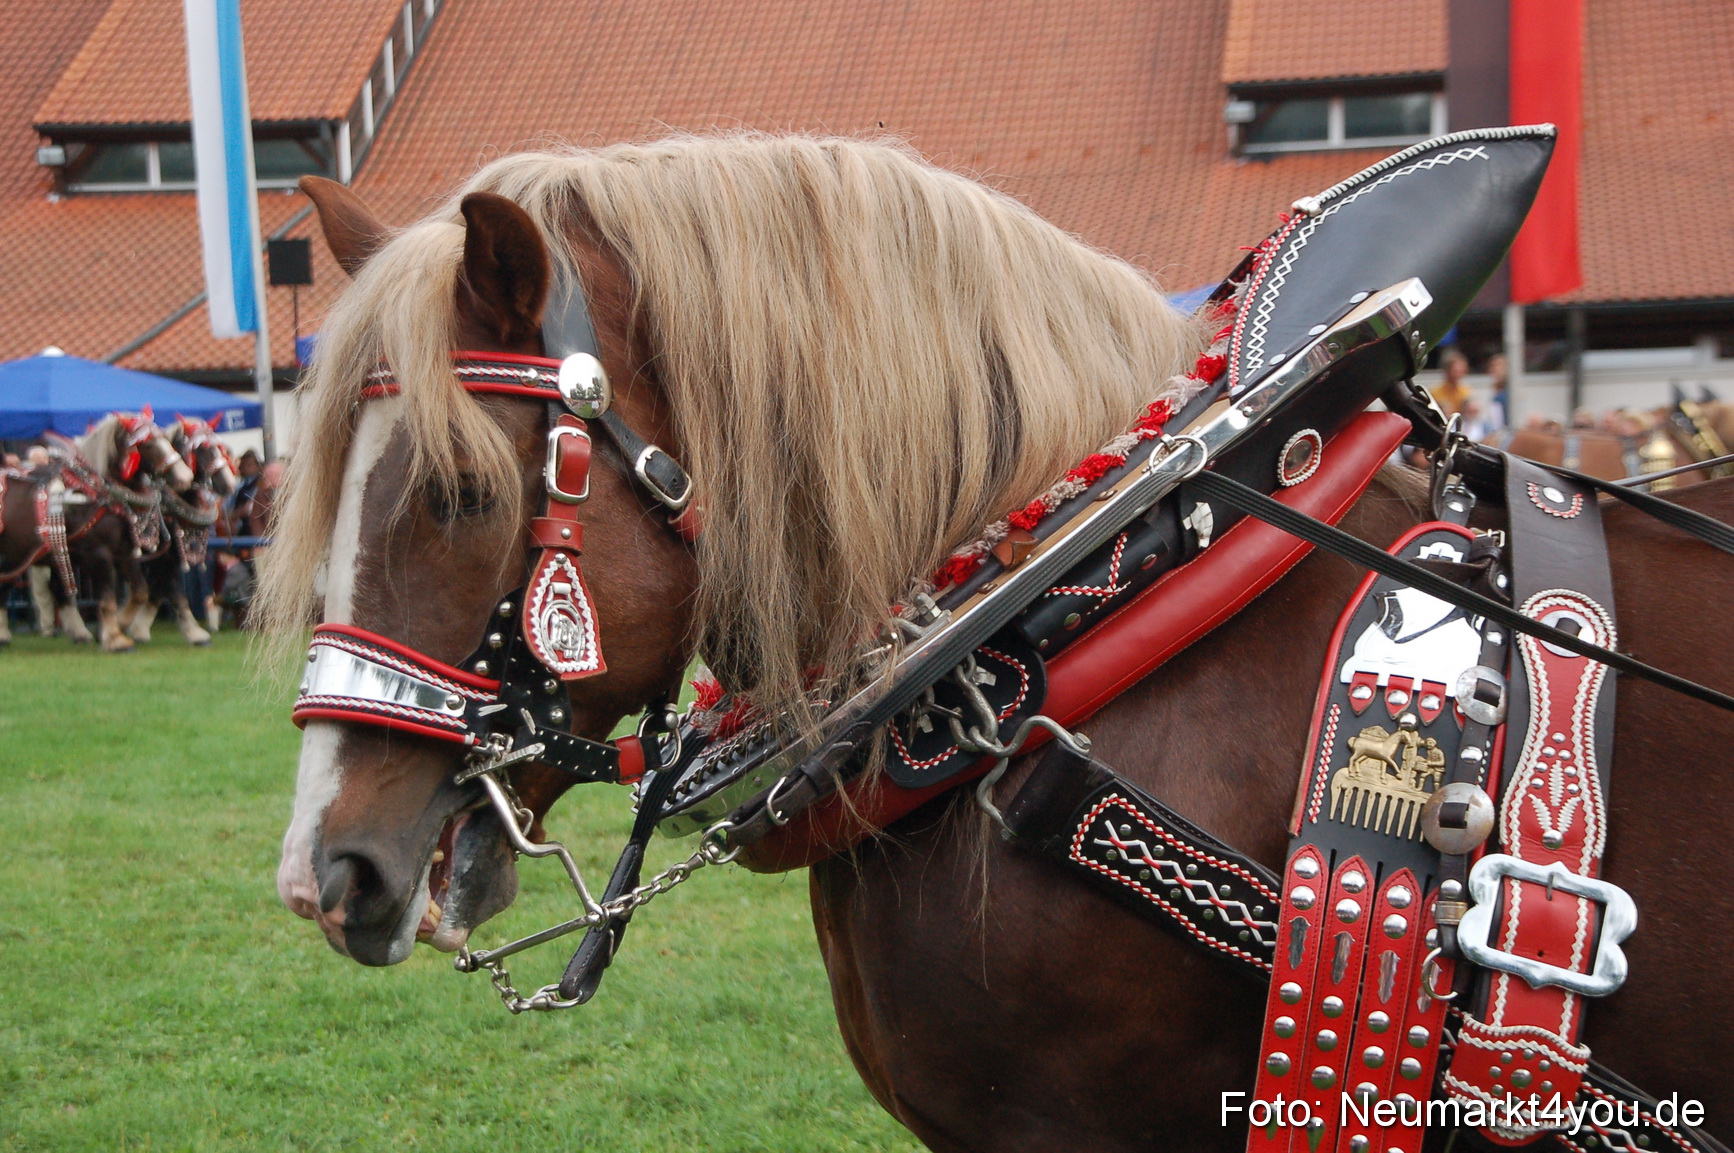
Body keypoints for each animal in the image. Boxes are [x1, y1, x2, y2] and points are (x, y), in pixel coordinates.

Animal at [0, 412, 192, 650]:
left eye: (166, 438)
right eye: (147, 444)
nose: (185, 477)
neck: (99, 494)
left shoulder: (125, 553)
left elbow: (140, 591)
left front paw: (120, 623)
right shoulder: (99, 554)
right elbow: (107, 599)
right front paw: (115, 639)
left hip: (17, 553)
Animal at [122, 417, 238, 645]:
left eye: (219, 447)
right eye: (203, 449)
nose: (230, 484)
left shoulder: (169, 557)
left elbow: (160, 590)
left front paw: (138, 629)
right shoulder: (162, 557)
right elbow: (173, 590)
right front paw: (195, 633)